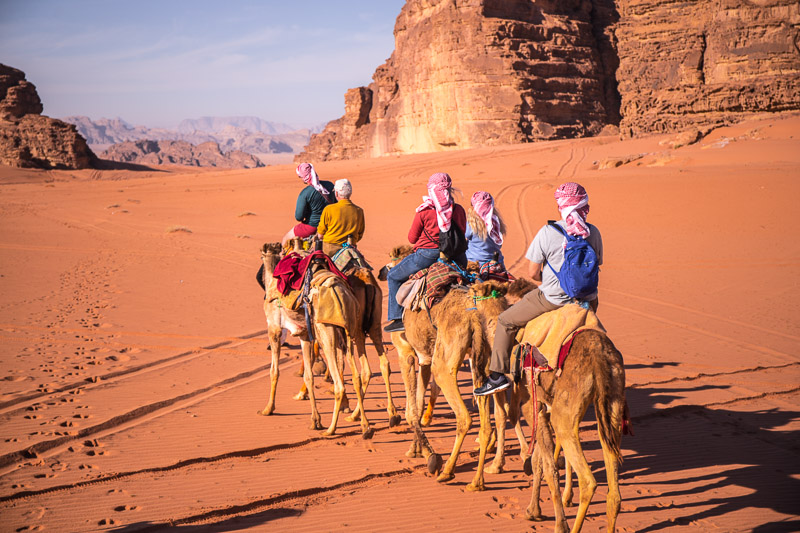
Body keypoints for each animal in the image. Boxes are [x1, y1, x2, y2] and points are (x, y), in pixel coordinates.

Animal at [258, 241, 374, 436]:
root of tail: (340, 292)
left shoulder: (274, 328)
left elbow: (274, 371)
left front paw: (268, 409)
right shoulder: (304, 334)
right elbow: (308, 376)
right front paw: (315, 420)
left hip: (325, 331)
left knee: (340, 383)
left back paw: (331, 430)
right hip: (351, 328)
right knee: (358, 375)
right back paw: (364, 425)